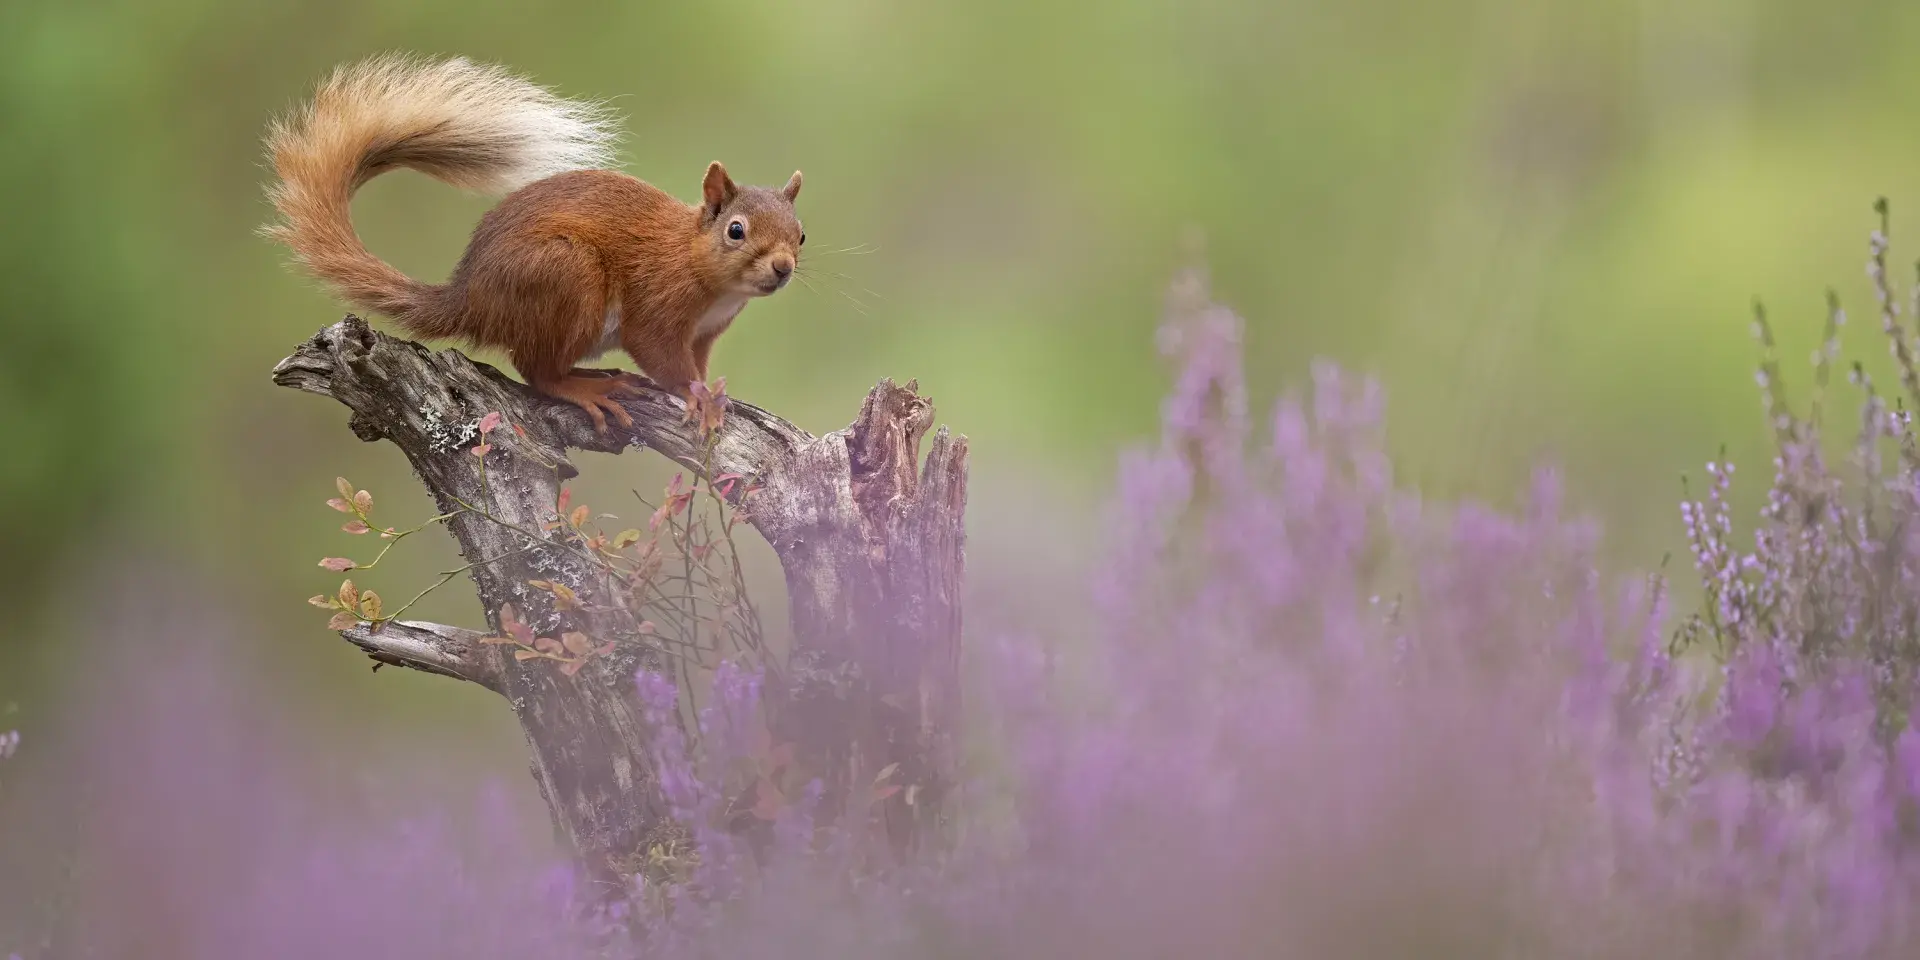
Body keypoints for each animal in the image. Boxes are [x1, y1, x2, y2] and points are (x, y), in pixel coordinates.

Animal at [262, 54, 805, 433]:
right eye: (736, 230)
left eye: (801, 234)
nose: (783, 267)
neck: (697, 262)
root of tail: (470, 299)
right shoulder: (658, 304)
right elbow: (660, 356)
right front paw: (694, 397)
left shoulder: (705, 334)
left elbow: (700, 363)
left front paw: (713, 397)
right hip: (567, 276)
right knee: (536, 372)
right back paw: (584, 388)